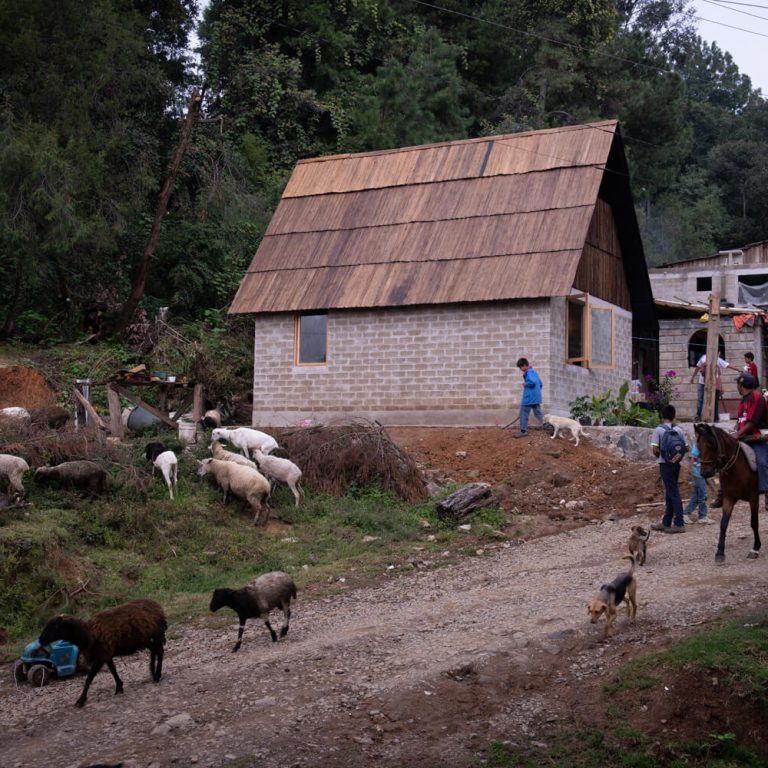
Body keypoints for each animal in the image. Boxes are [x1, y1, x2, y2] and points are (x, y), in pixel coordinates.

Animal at [37, 600, 166, 708]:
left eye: (55, 626)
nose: (41, 640)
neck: (89, 634)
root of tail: (157, 605)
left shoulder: (101, 656)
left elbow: (89, 678)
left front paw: (81, 700)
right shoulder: (106, 654)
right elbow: (113, 671)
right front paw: (119, 687)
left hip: (156, 634)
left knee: (159, 651)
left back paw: (157, 675)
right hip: (145, 639)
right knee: (154, 650)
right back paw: (152, 671)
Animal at [696, 420, 760, 564]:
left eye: (711, 445)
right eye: (698, 447)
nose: (704, 473)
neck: (736, 469)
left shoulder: (754, 498)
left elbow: (754, 522)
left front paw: (755, 548)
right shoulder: (729, 498)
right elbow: (723, 524)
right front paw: (720, 552)